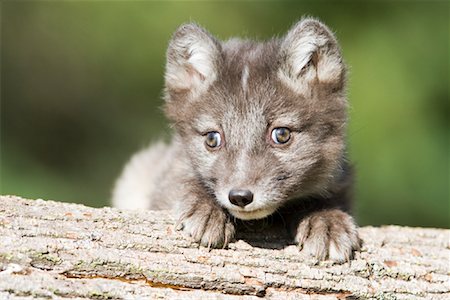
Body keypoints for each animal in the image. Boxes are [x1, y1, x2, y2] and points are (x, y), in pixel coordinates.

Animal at [113, 18, 362, 262]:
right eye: (212, 138)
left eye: (281, 135)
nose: (240, 197)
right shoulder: (167, 170)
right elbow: (180, 182)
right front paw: (206, 210)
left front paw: (326, 222)